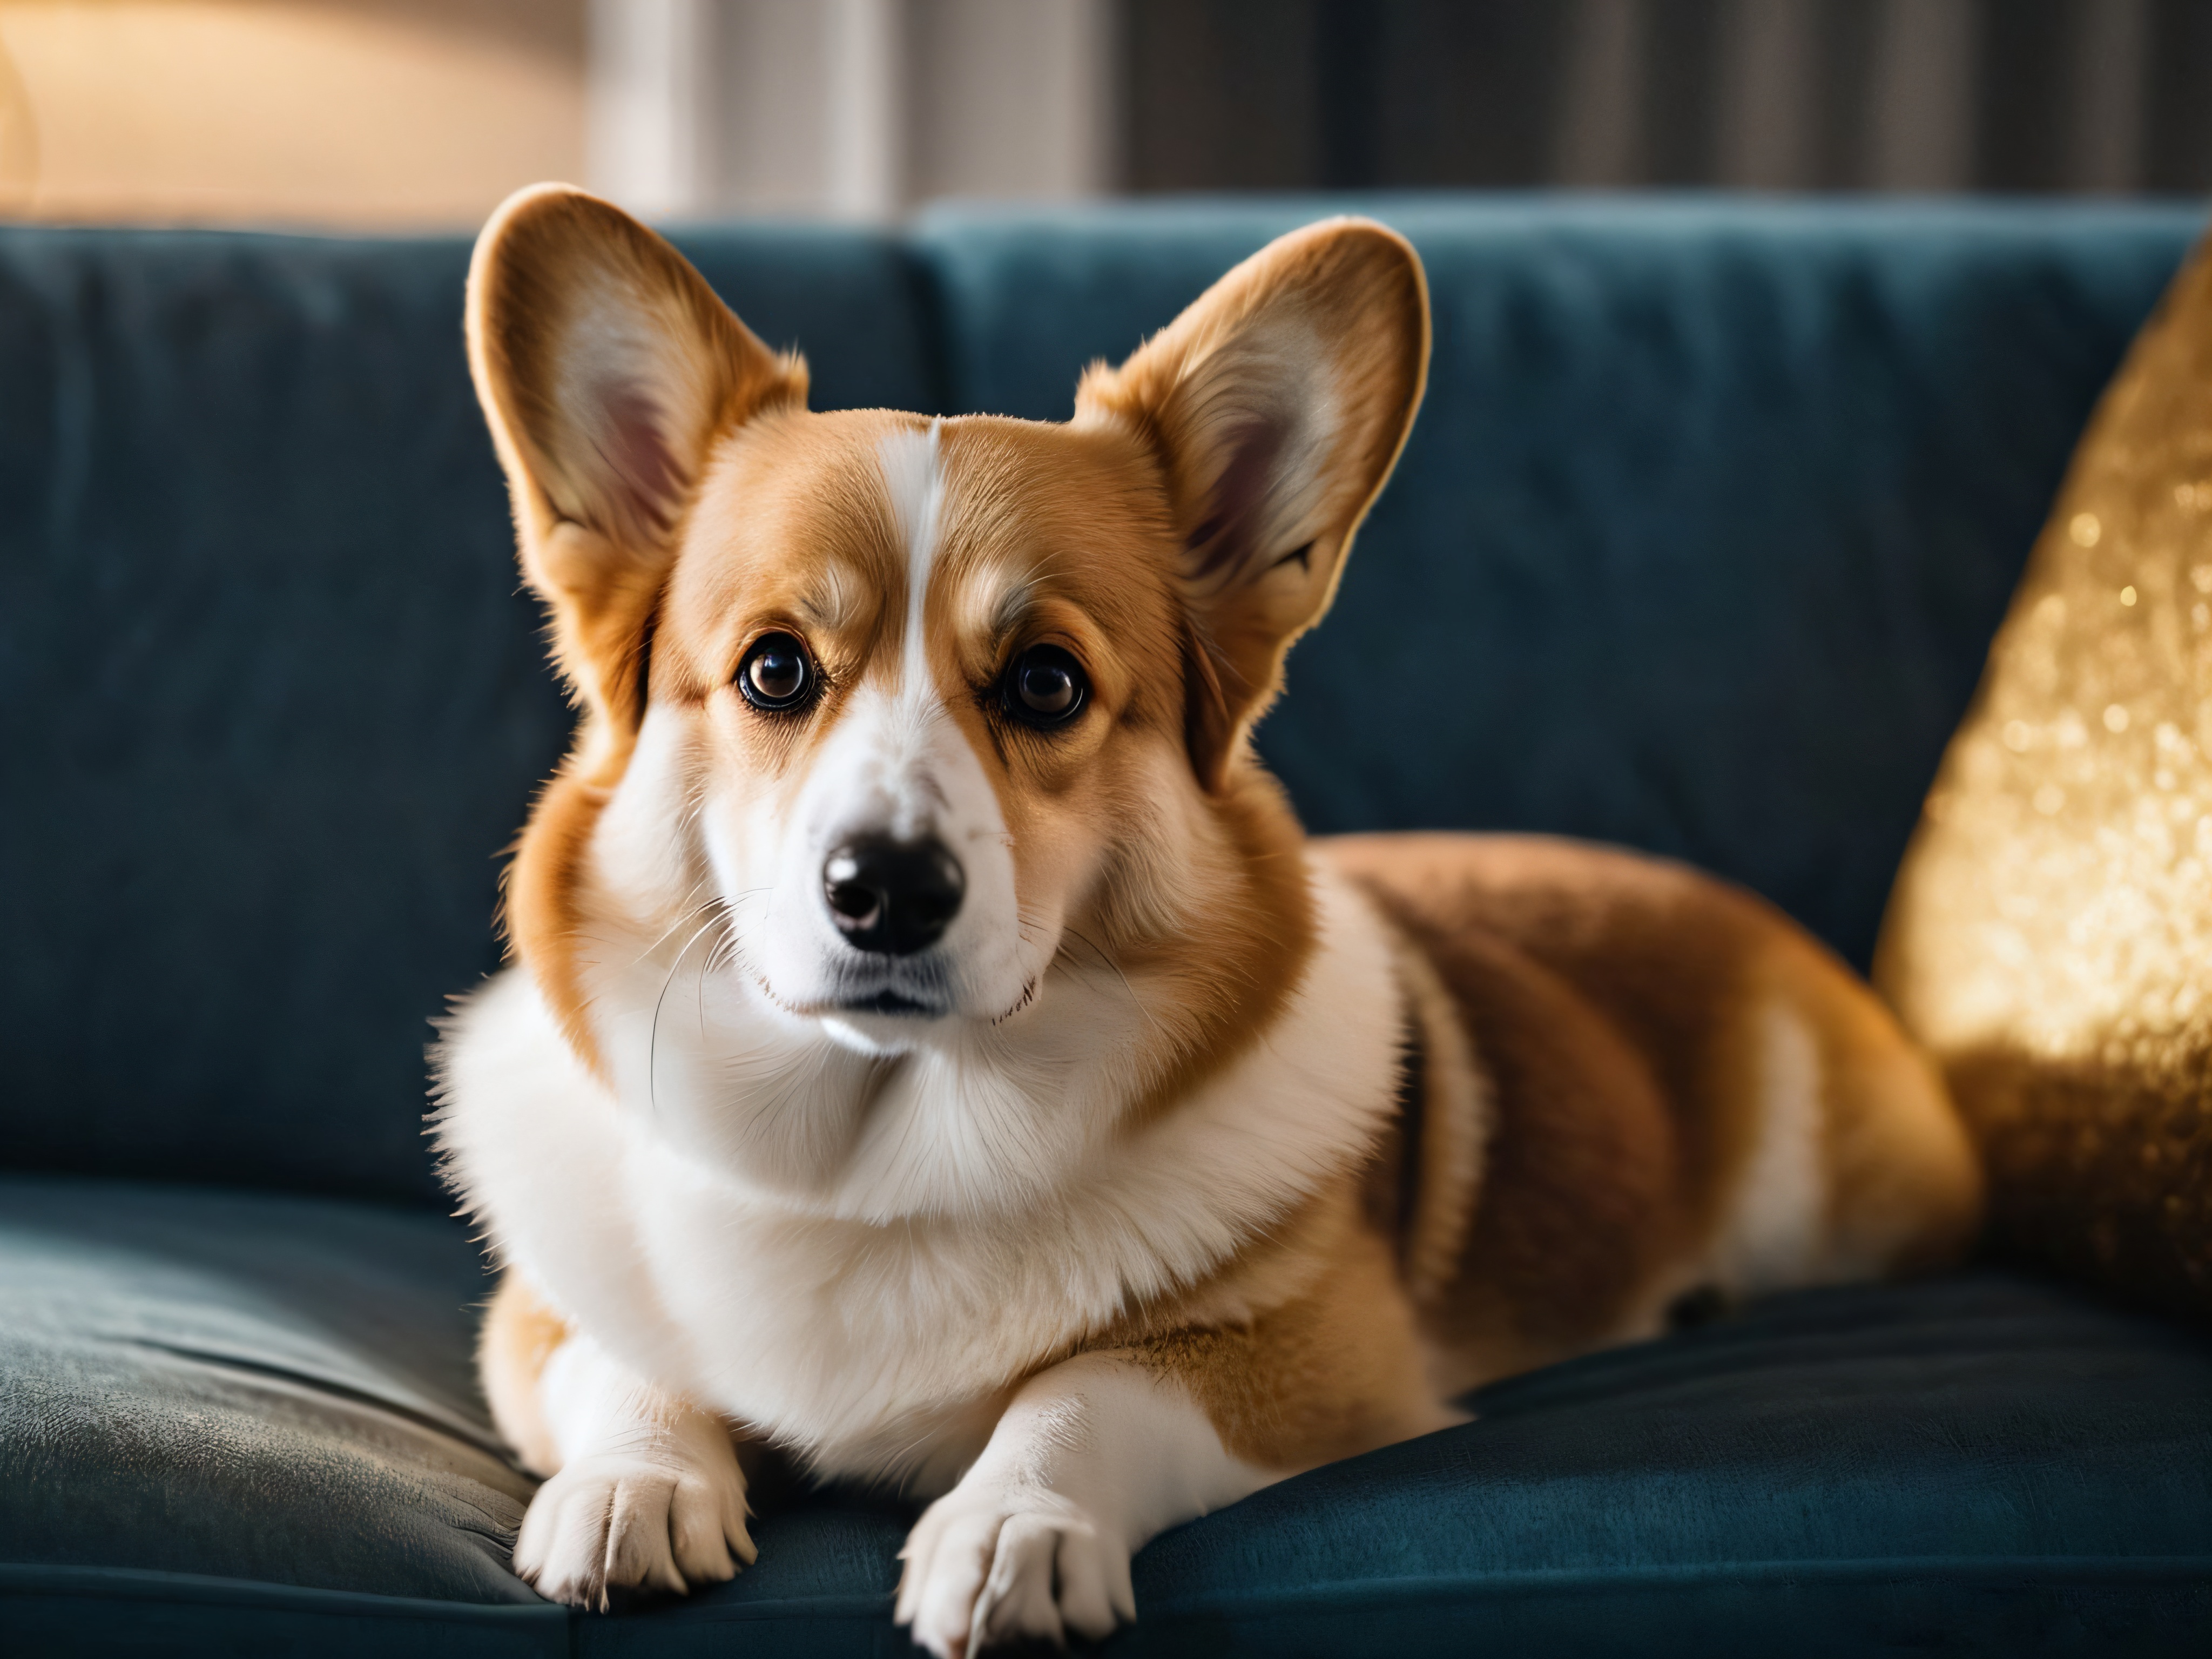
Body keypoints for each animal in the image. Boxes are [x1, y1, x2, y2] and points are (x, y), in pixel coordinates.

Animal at [435, 188, 1991, 1654]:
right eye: (772, 671)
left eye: (1048, 684)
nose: (886, 891)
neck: (881, 1148)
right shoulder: (536, 1320)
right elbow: (629, 1362)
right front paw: (631, 1488)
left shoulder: (1315, 1359)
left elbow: (1088, 1385)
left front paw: (1013, 1527)